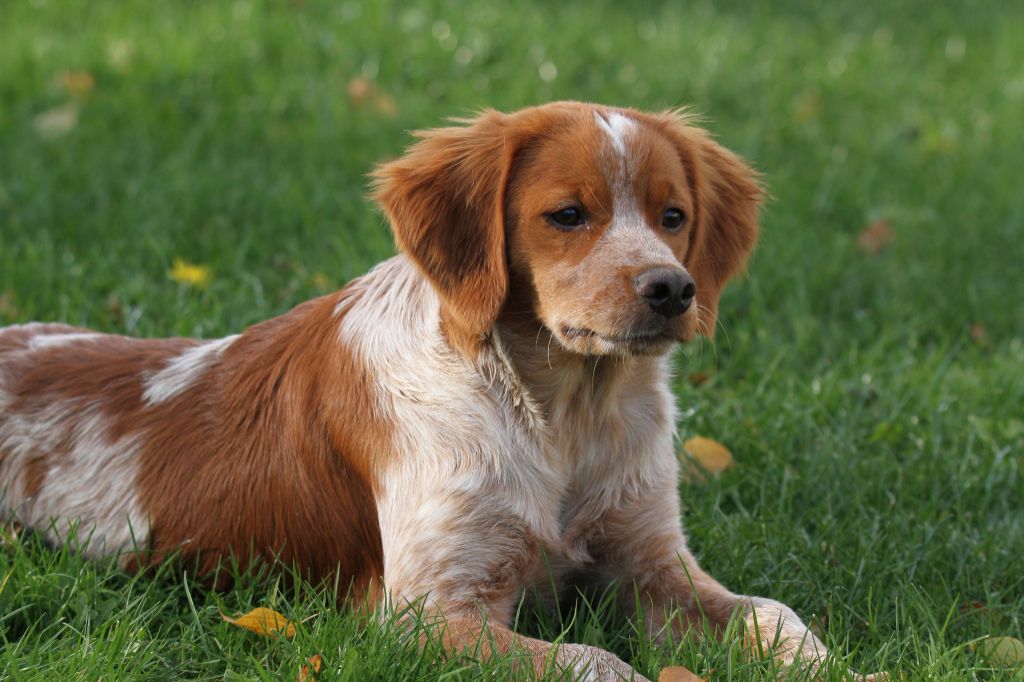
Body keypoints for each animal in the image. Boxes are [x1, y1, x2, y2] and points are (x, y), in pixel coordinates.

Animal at [0, 102, 880, 679]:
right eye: (567, 215)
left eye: (674, 215)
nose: (672, 290)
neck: (561, 415)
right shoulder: (426, 614)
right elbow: (596, 661)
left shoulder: (651, 564)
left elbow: (776, 618)